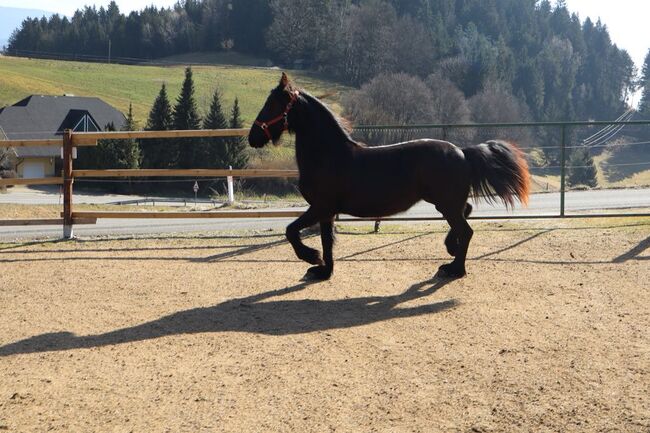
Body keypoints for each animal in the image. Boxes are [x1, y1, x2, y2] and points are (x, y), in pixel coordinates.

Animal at [248, 72, 528, 278]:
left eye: (273, 104)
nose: (253, 137)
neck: (328, 154)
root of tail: (462, 151)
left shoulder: (321, 207)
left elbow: (291, 231)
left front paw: (311, 257)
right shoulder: (326, 211)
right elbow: (327, 241)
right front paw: (323, 270)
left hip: (446, 203)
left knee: (467, 230)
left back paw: (454, 270)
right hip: (446, 202)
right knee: (466, 214)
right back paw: (450, 249)